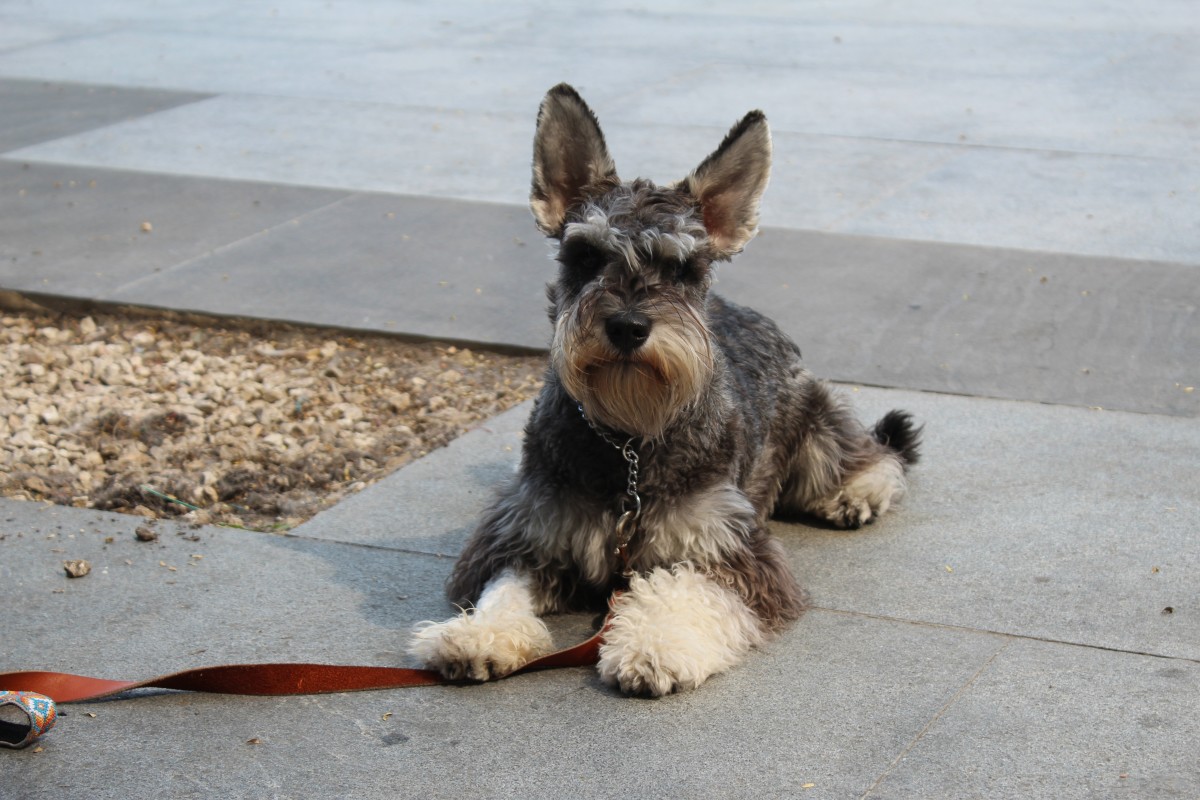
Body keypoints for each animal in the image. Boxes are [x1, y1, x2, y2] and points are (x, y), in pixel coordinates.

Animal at [408, 81, 921, 695]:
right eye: (585, 255)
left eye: (682, 268)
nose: (629, 326)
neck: (627, 443)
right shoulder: (525, 533)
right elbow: (502, 587)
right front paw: (480, 635)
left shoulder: (727, 546)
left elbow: (685, 589)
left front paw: (655, 644)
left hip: (815, 422)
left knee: (870, 451)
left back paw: (855, 492)